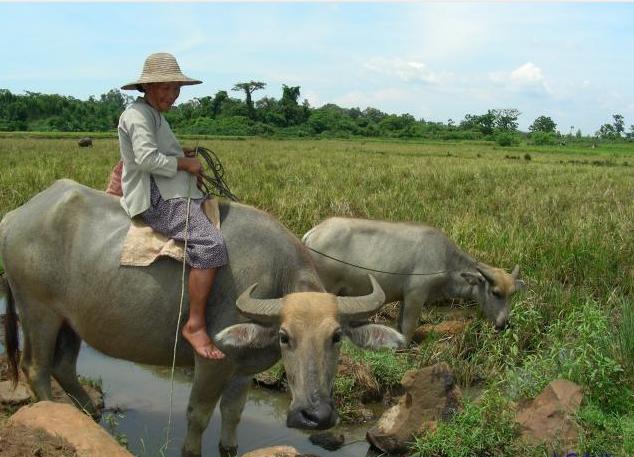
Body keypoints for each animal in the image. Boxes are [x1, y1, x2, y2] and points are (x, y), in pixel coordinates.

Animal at [0, 181, 402, 456]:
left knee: (63, 367)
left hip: (70, 321)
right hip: (37, 310)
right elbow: (198, 417)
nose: (314, 416)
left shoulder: (242, 370)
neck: (274, 273)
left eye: (336, 337)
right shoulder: (211, 364)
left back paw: (92, 419)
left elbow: (232, 418)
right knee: (37, 367)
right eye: (285, 336)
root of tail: (15, 216)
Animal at [302, 217, 524, 342]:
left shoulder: (405, 297)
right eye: (495, 292)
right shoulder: (416, 295)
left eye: (513, 294)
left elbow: (401, 324)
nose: (504, 323)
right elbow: (409, 327)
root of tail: (312, 233)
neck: (445, 261)